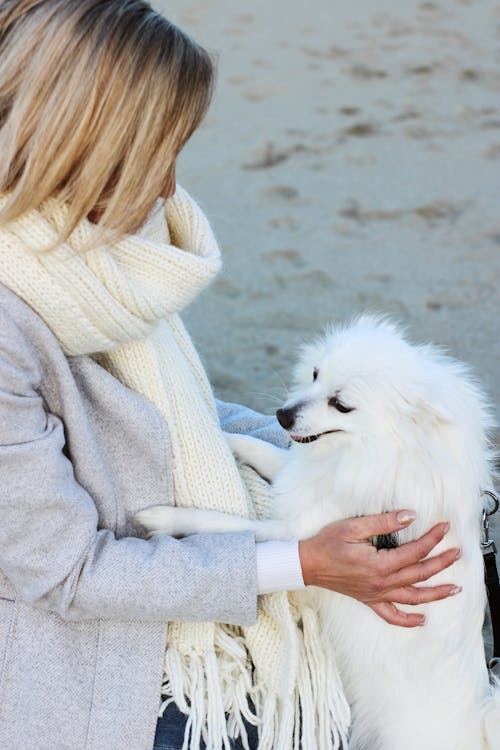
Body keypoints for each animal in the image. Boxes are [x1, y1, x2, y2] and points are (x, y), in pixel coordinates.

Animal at [137, 318, 500, 750]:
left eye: (340, 404)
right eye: (314, 374)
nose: (282, 415)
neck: (374, 453)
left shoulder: (297, 528)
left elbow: (221, 523)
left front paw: (164, 517)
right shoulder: (305, 481)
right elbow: (266, 451)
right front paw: (224, 437)